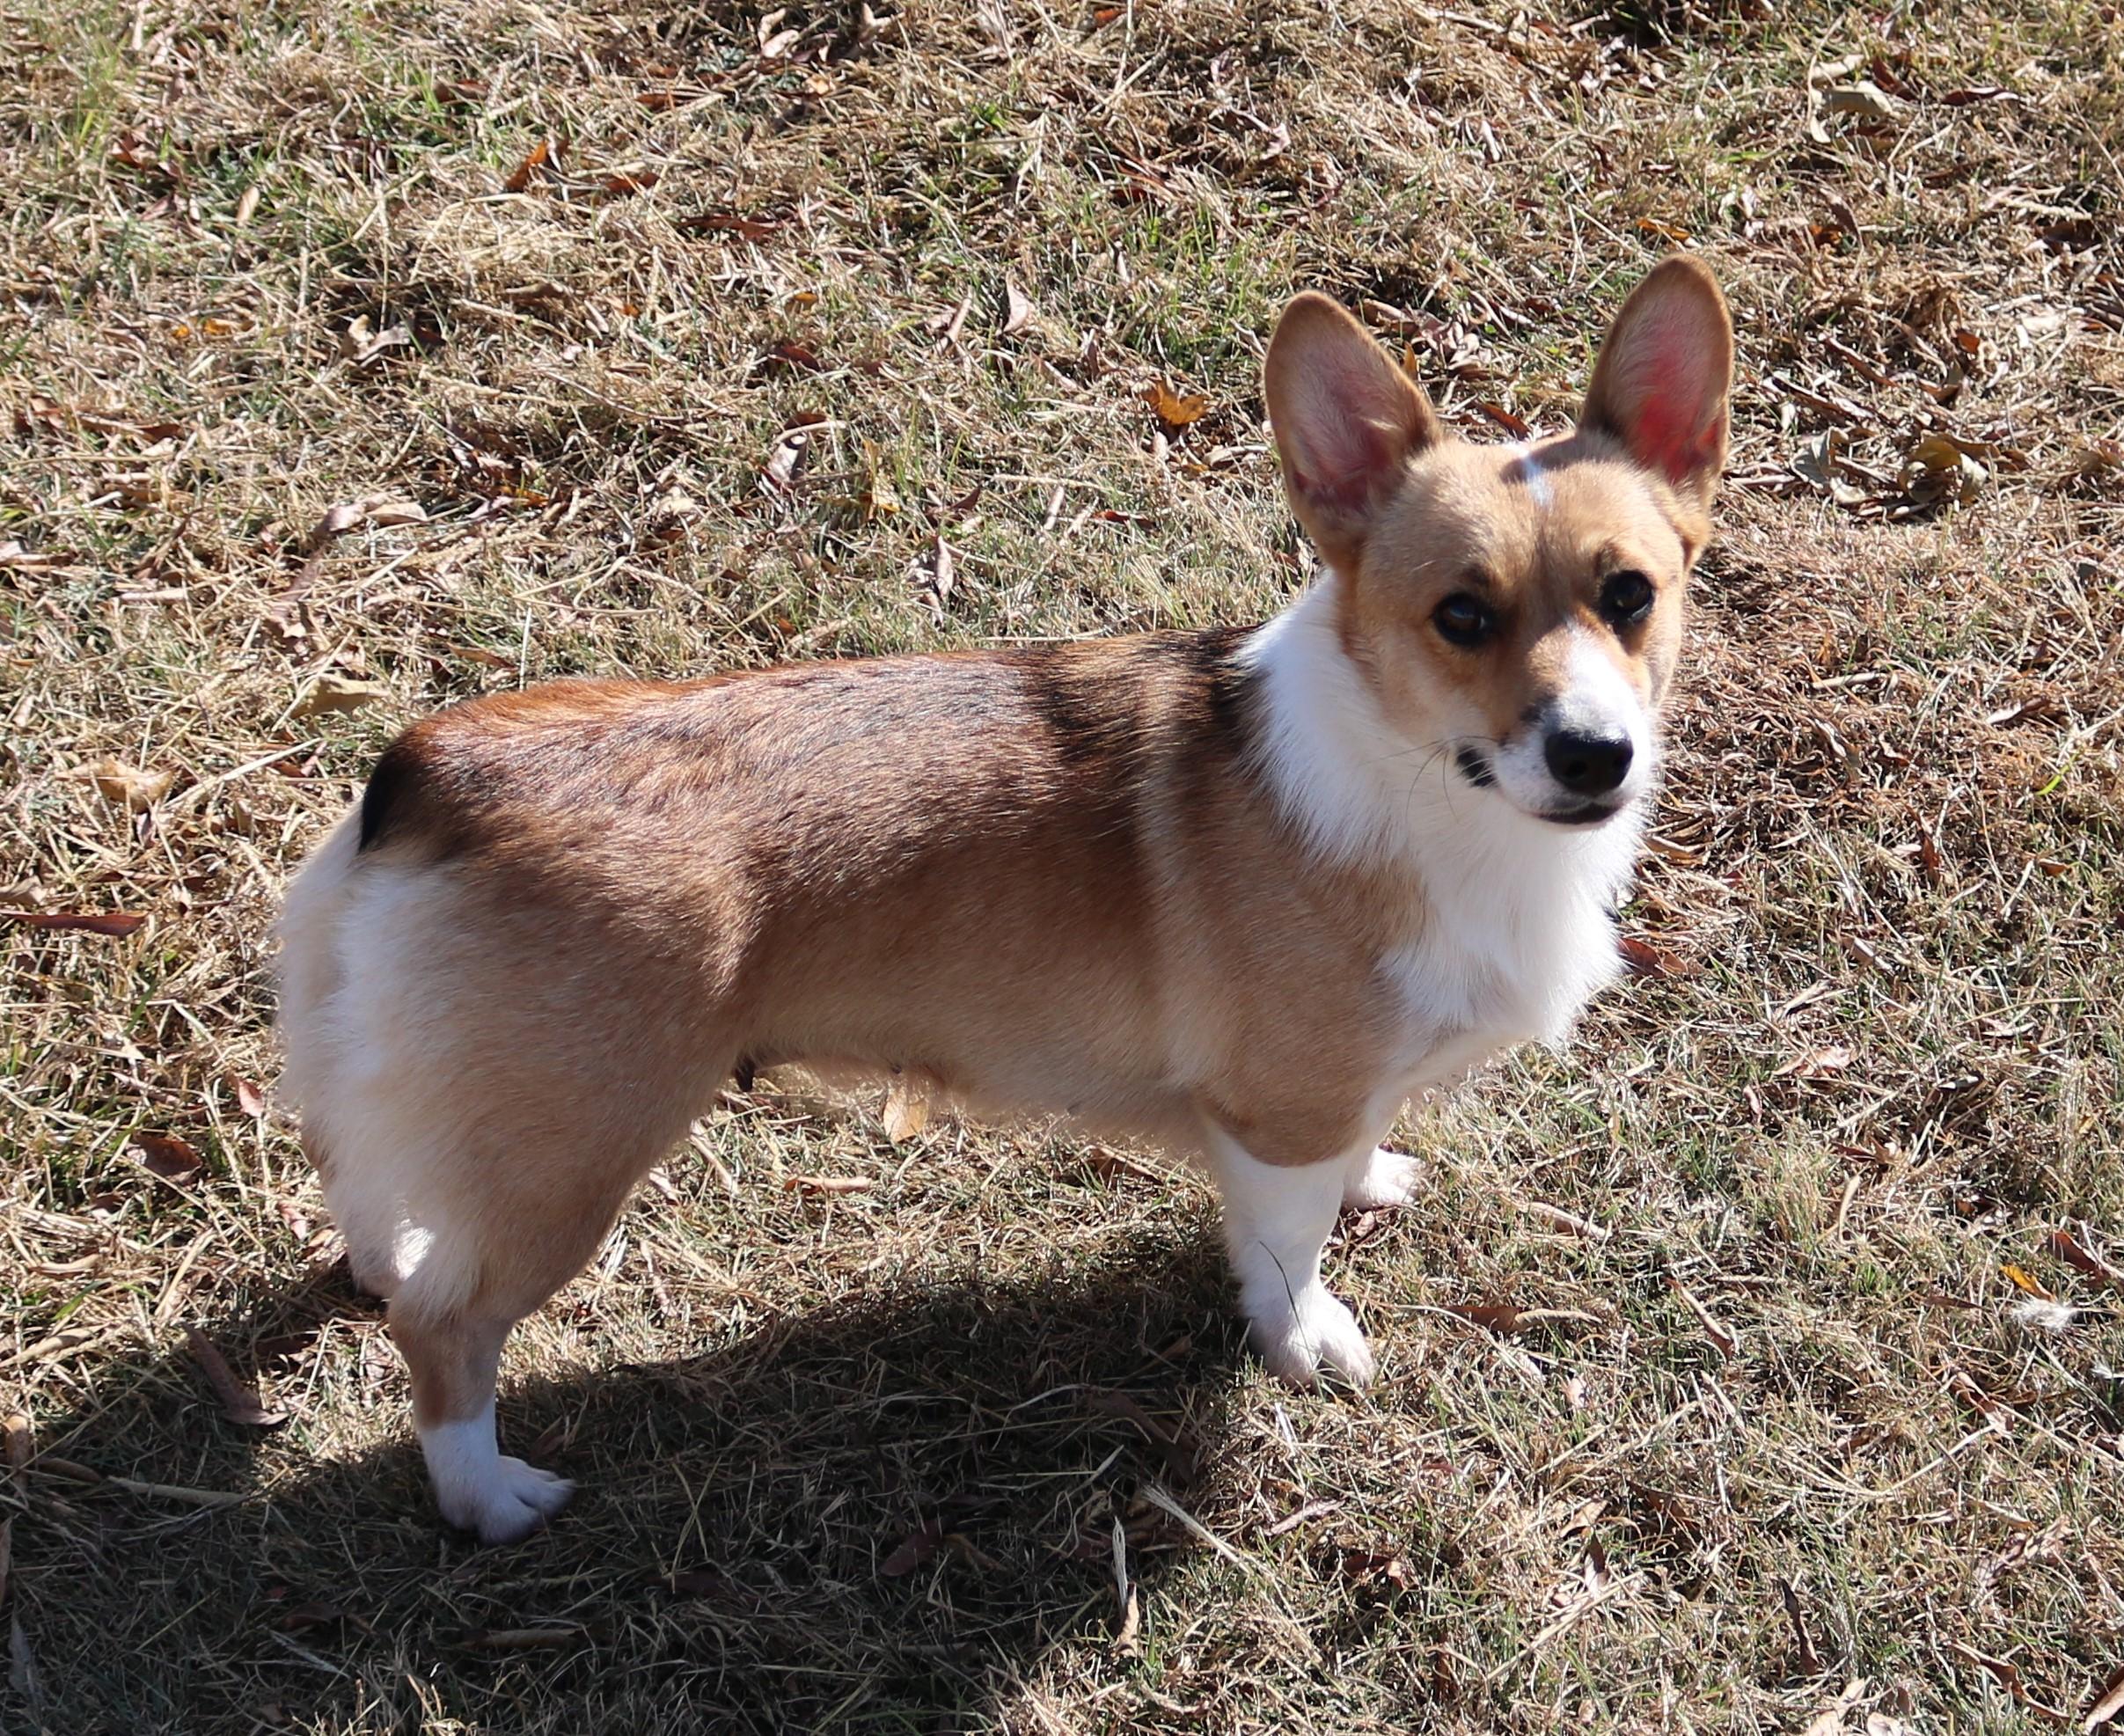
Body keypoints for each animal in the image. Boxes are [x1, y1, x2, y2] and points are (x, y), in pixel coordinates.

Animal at [276, 256, 1732, 1542]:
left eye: (1628, 593)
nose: (1595, 755)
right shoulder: (1279, 1118)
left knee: (377, 1215)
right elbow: (1283, 1249)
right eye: (1461, 616)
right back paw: (487, 1496)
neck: (1425, 788)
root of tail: (433, 772)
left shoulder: (1327, 1097)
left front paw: (1374, 1178)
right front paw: (1306, 1338)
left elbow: (1349, 1158)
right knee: (443, 1328)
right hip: (571, 1164)